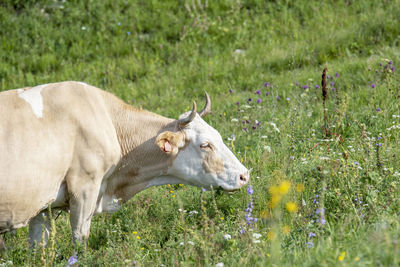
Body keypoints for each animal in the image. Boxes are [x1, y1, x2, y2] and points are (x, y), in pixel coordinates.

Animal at [0, 81, 248, 247]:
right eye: (205, 145)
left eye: (219, 136)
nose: (244, 175)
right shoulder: (84, 190)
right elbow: (80, 240)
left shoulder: (43, 206)